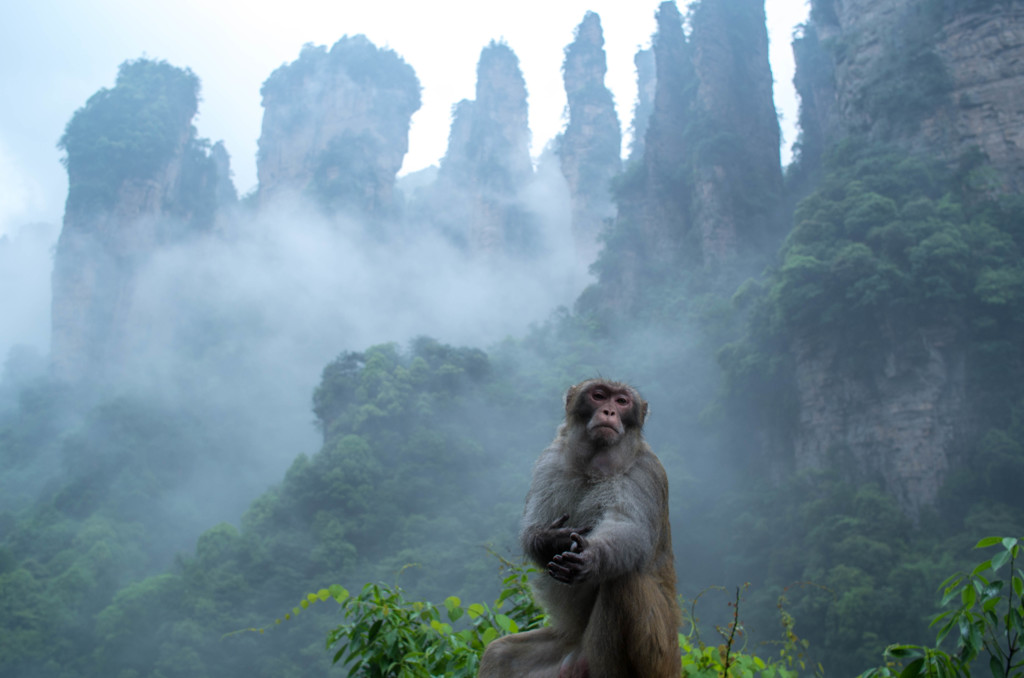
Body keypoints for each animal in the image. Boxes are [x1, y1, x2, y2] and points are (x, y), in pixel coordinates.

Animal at [479, 378, 679, 675]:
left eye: (622, 402)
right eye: (599, 396)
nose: (609, 412)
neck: (594, 467)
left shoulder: (645, 472)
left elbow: (629, 530)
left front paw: (591, 557)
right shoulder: (549, 461)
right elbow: (530, 531)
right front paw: (551, 540)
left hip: (659, 657)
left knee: (623, 581)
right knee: (500, 654)